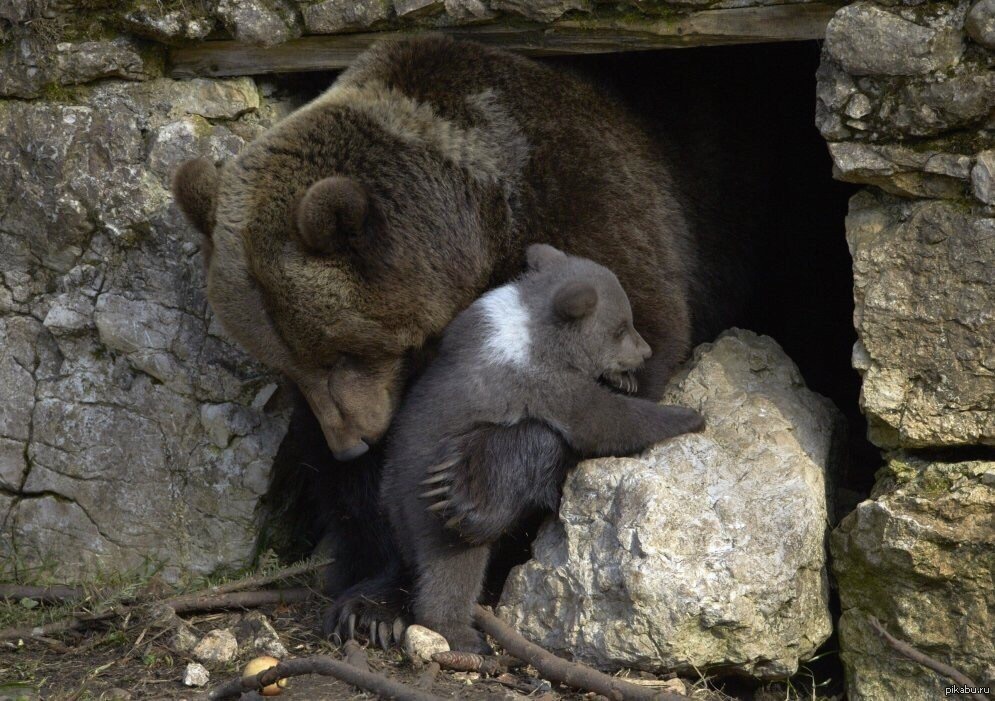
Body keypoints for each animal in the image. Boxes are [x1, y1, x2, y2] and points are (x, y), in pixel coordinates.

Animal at [173, 35, 748, 596]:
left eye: (339, 352)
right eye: (288, 365)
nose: (351, 445)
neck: (477, 223)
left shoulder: (590, 199)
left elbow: (622, 364)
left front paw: (468, 492)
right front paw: (371, 591)